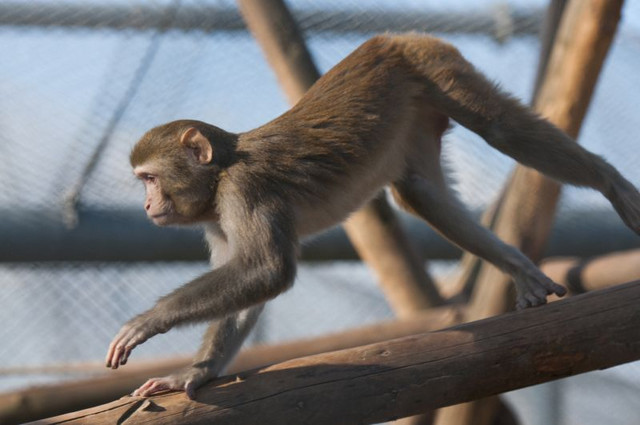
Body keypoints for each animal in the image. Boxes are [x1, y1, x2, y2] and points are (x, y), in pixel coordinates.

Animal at [105, 33, 640, 398]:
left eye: (148, 178)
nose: (148, 205)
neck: (219, 177)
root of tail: (392, 38)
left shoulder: (245, 192)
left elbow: (267, 269)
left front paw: (149, 321)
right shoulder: (217, 220)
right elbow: (249, 280)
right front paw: (193, 373)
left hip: (432, 65)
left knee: (501, 128)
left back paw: (610, 181)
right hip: (417, 106)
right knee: (421, 191)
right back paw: (518, 268)